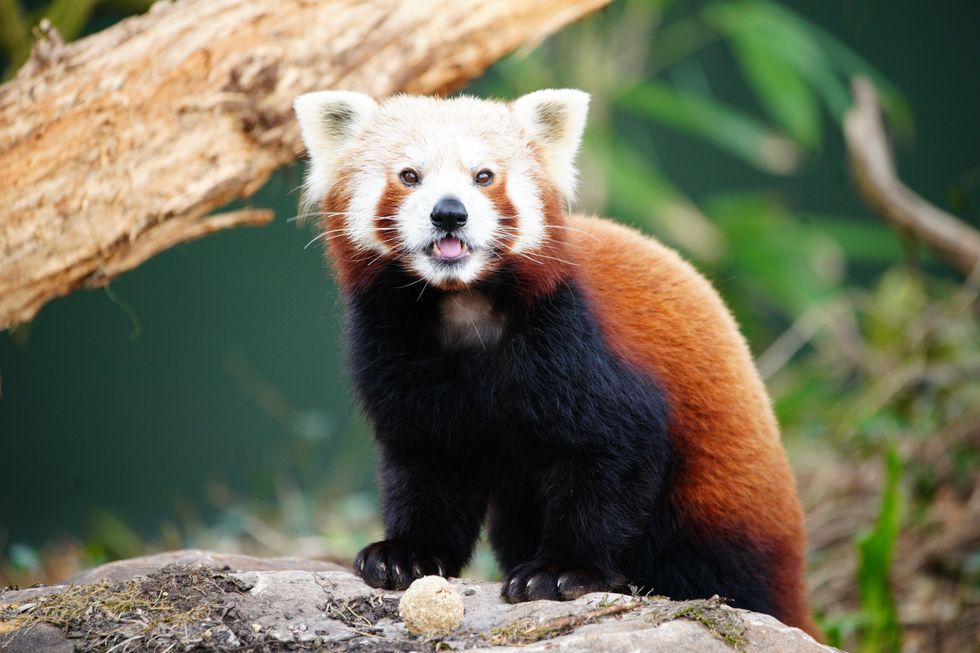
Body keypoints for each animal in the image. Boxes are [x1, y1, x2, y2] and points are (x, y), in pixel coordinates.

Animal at [290, 89, 820, 636]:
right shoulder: (395, 350)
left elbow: (607, 458)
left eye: (484, 176)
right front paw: (407, 552)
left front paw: (564, 570)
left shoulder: (576, 342)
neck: (462, 305)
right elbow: (428, 459)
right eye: (409, 175)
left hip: (718, 508)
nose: (450, 213)